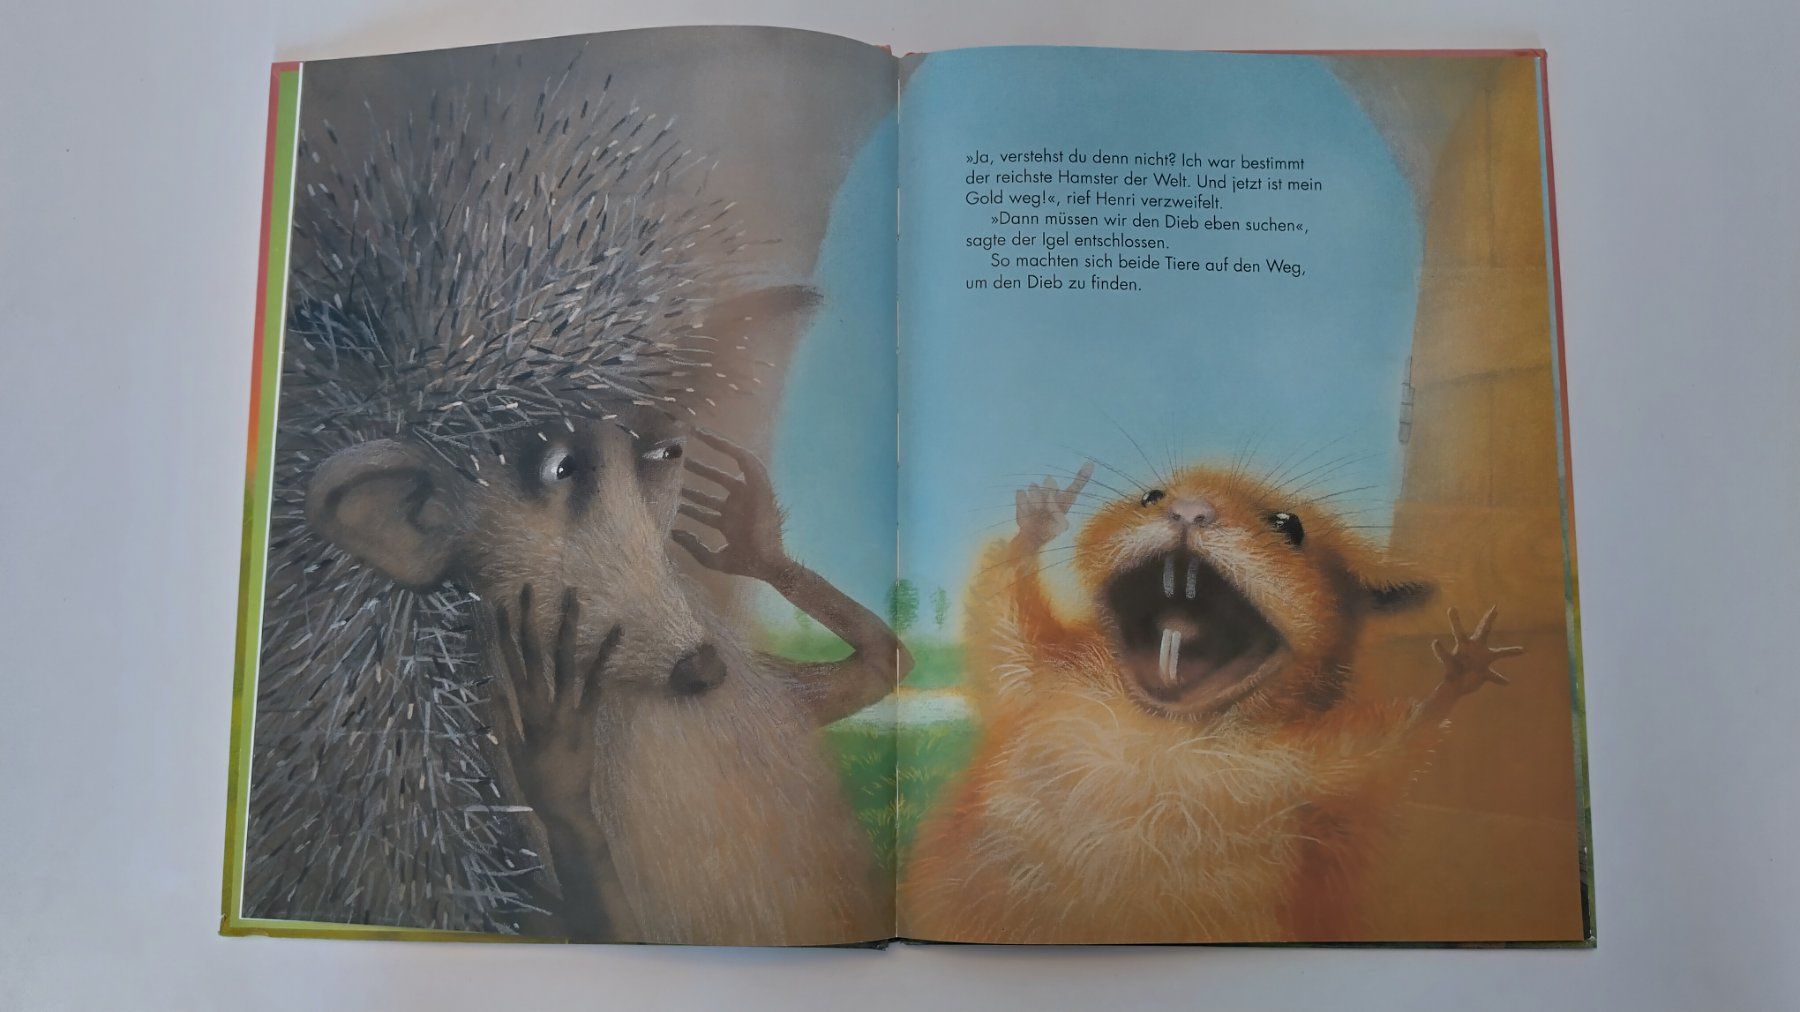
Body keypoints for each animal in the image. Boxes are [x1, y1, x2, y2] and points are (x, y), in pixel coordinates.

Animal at [901, 462, 1522, 943]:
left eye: (1289, 526)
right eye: (1151, 496)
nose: (1189, 512)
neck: (1162, 726)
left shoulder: (1315, 771)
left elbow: (1397, 743)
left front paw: (1465, 665)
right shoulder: (1036, 678)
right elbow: (1001, 612)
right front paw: (1040, 518)